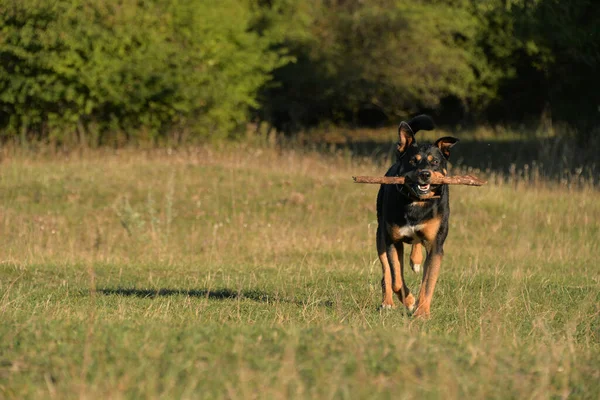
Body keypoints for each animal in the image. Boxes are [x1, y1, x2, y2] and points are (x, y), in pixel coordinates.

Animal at [378, 115, 458, 318]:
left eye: (435, 162)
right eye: (414, 161)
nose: (425, 174)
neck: (416, 202)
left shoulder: (435, 245)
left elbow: (428, 283)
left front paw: (422, 312)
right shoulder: (392, 241)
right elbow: (396, 279)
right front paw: (409, 301)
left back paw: (415, 261)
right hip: (380, 234)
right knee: (386, 272)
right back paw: (387, 302)